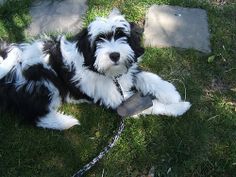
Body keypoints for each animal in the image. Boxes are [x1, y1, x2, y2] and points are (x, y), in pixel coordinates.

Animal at [0, 9, 191, 130]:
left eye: (121, 36)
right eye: (99, 41)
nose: (114, 55)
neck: (107, 73)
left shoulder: (127, 69)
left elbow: (145, 76)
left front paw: (171, 94)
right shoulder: (117, 100)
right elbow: (151, 106)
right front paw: (179, 107)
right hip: (40, 81)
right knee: (34, 114)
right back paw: (64, 121)